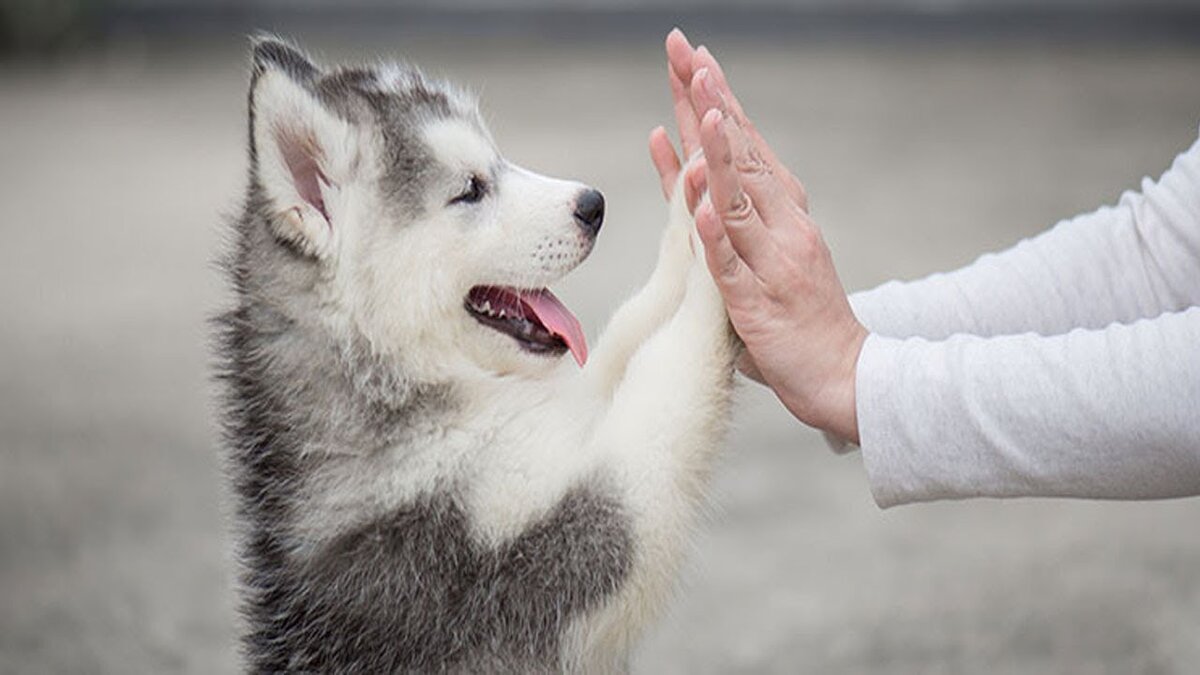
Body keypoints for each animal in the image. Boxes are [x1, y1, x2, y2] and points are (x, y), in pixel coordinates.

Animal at [216, 38, 739, 672]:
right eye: (470, 188)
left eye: (498, 160)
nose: (593, 204)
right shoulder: (536, 551)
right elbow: (665, 379)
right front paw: (721, 254)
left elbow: (627, 335)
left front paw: (694, 206)